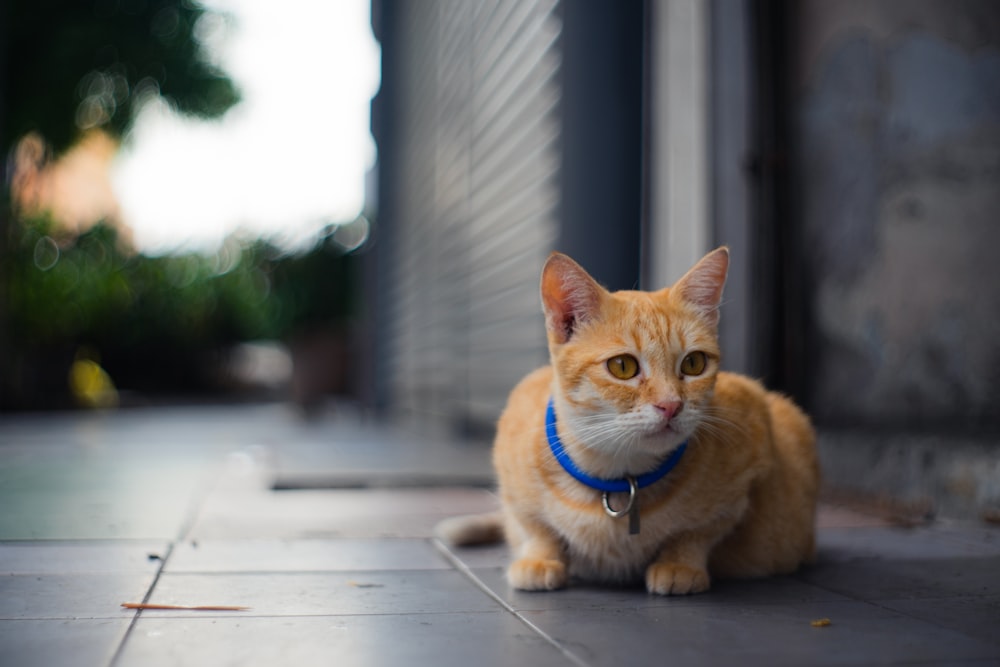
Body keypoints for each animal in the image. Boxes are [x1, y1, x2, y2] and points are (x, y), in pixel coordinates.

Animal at [440, 249, 820, 596]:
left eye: (694, 363)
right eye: (622, 366)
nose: (671, 405)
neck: (617, 476)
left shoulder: (753, 448)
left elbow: (698, 533)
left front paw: (680, 563)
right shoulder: (513, 465)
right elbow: (535, 526)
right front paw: (540, 557)